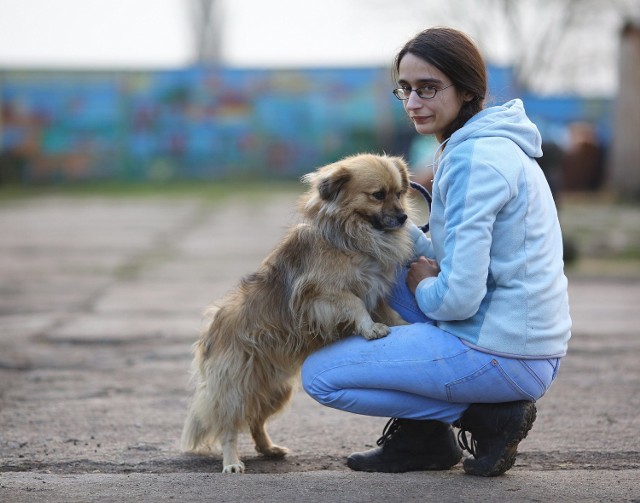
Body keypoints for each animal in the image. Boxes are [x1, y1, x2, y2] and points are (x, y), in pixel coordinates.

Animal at [182, 153, 418, 472]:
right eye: (378, 195)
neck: (352, 234)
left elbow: (384, 309)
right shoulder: (321, 295)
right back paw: (232, 462)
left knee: (255, 421)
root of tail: (211, 332)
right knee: (230, 427)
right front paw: (370, 329)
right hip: (235, 389)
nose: (403, 217)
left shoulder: (376, 289)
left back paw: (268, 449)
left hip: (276, 392)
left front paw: (400, 324)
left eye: (400, 193)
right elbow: (354, 303)